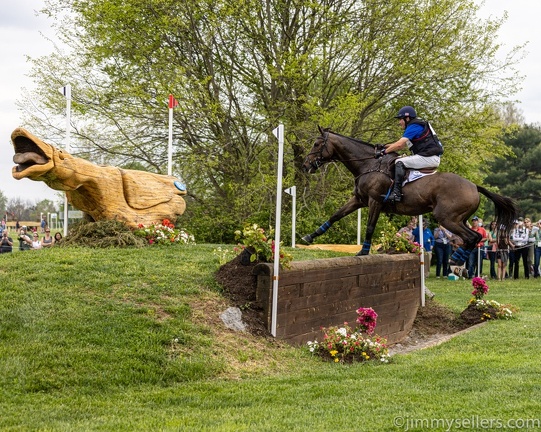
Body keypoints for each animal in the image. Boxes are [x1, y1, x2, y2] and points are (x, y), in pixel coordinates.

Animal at [302, 125, 516, 266]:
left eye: (316, 144)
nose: (305, 166)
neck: (368, 164)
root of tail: (473, 186)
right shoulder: (358, 200)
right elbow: (335, 216)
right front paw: (309, 237)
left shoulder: (374, 202)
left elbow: (370, 226)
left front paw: (363, 251)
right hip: (458, 219)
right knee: (473, 236)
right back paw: (458, 258)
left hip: (446, 218)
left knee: (472, 236)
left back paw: (456, 259)